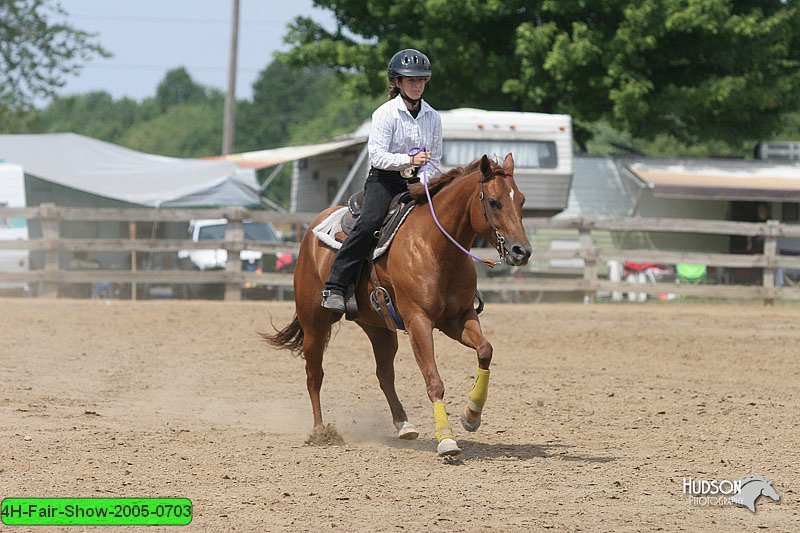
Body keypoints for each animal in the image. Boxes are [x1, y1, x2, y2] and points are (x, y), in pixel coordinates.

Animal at [266, 152, 536, 456]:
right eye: (493, 201)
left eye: (521, 200)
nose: (521, 251)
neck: (435, 247)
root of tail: (312, 230)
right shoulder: (418, 321)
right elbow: (434, 381)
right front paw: (446, 440)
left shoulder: (458, 318)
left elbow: (485, 351)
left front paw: (471, 416)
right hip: (314, 322)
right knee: (314, 374)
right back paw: (320, 431)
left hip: (378, 327)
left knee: (384, 373)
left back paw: (404, 424)